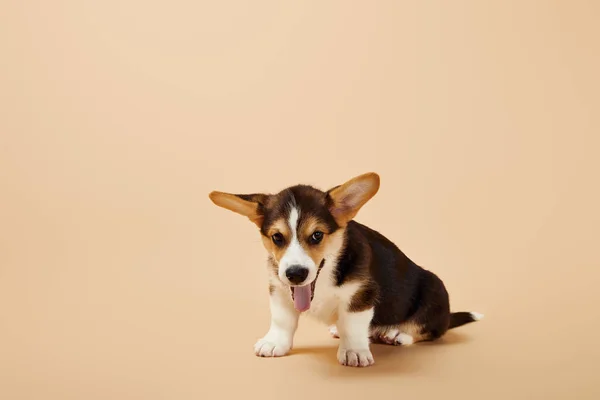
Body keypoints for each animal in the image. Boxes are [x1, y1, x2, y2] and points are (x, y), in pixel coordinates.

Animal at [209, 173, 480, 368]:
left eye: (317, 235)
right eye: (277, 237)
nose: (295, 274)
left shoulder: (361, 294)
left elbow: (352, 323)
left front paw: (354, 351)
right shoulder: (279, 288)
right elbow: (281, 319)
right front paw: (274, 343)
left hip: (435, 288)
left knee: (428, 330)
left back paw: (396, 334)